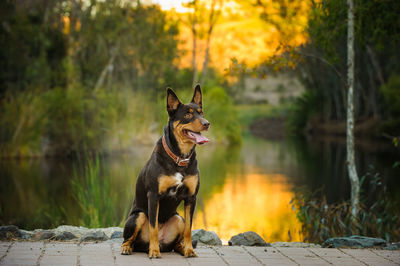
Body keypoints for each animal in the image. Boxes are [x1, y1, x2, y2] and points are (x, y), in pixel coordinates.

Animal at [121, 84, 209, 258]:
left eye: (201, 113)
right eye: (188, 114)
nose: (206, 123)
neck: (179, 158)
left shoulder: (191, 197)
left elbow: (189, 229)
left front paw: (189, 250)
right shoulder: (154, 196)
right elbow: (154, 227)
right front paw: (154, 252)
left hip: (178, 218)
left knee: (176, 242)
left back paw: (181, 249)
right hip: (138, 216)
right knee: (128, 240)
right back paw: (129, 248)